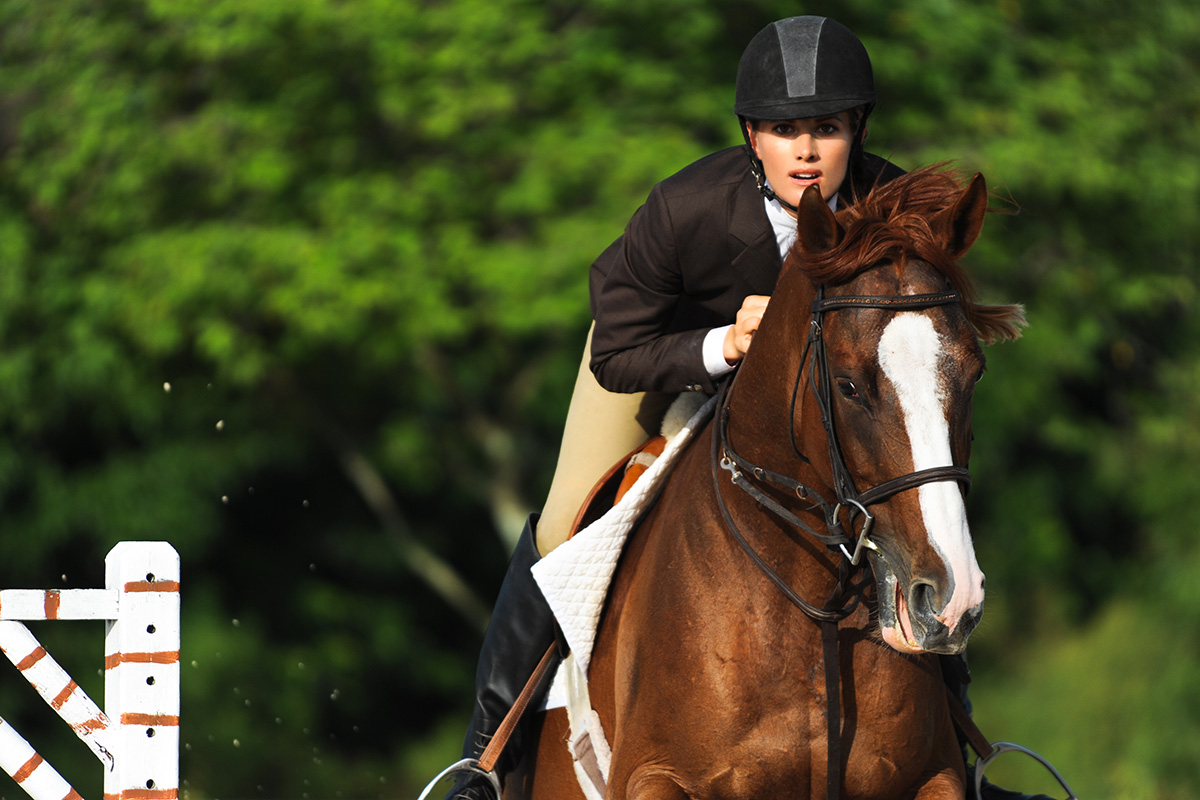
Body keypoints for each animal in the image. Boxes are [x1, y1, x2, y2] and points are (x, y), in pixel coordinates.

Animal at [516, 167, 1022, 800]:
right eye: (848, 385)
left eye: (974, 373)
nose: (952, 600)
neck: (813, 616)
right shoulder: (653, 775)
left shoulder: (934, 776)